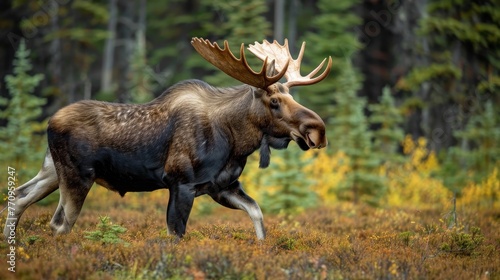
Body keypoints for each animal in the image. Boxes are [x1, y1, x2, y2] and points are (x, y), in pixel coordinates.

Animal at [4, 37, 332, 240]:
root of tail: (50, 121)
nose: (318, 129)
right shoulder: (181, 183)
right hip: (77, 176)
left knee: (18, 197)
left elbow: (257, 214)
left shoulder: (221, 187)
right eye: (274, 101)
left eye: (291, 96)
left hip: (51, 171)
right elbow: (177, 233)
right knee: (60, 223)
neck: (236, 141)